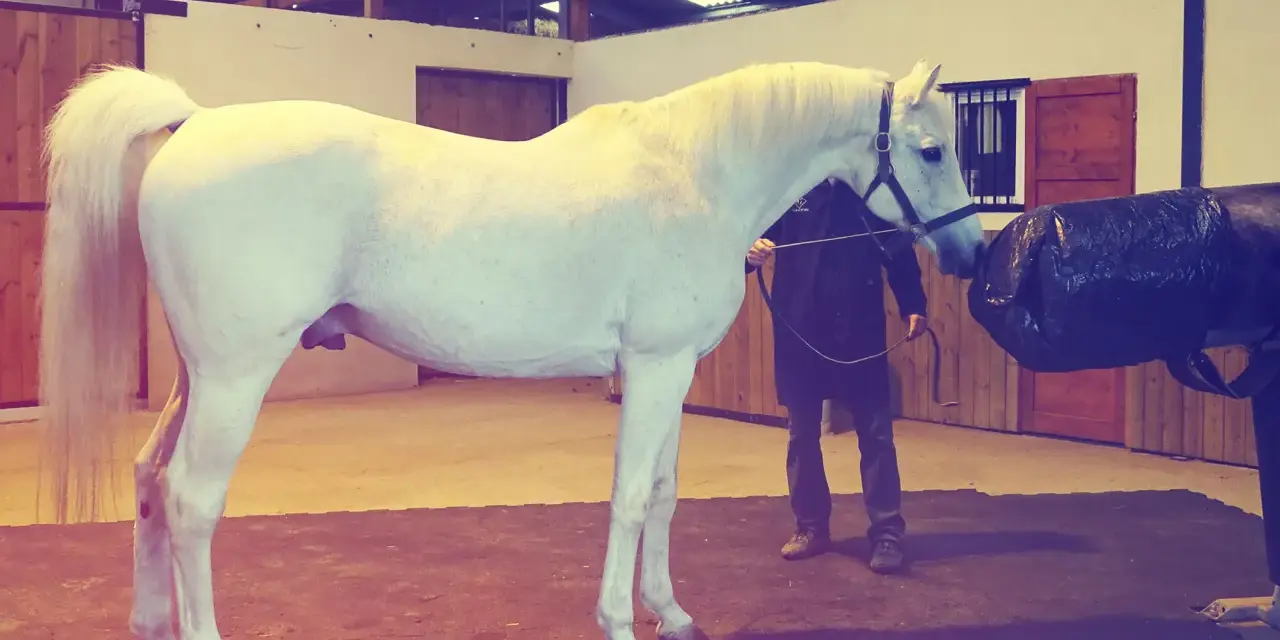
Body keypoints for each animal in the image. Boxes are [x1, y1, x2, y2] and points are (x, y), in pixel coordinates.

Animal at [37, 58, 985, 640]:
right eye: (931, 149)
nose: (971, 255)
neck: (696, 175)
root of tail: (195, 122)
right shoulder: (651, 369)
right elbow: (629, 499)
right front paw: (618, 619)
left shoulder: (672, 371)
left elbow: (666, 495)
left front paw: (671, 612)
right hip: (236, 378)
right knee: (193, 501)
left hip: (198, 377)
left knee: (150, 480)